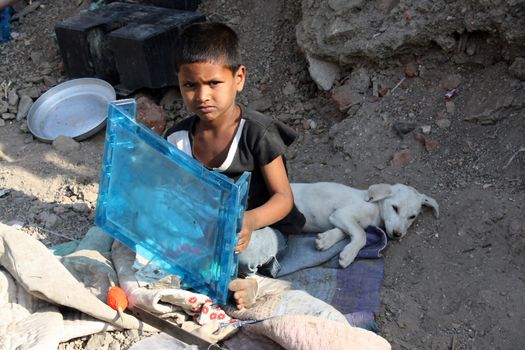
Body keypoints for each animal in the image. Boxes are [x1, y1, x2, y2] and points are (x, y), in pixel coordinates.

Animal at [290, 183, 438, 268]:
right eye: (395, 208)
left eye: (412, 217)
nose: (397, 234)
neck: (376, 210)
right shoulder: (342, 214)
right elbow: (361, 234)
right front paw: (349, 254)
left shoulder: (340, 218)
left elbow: (345, 231)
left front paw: (326, 240)